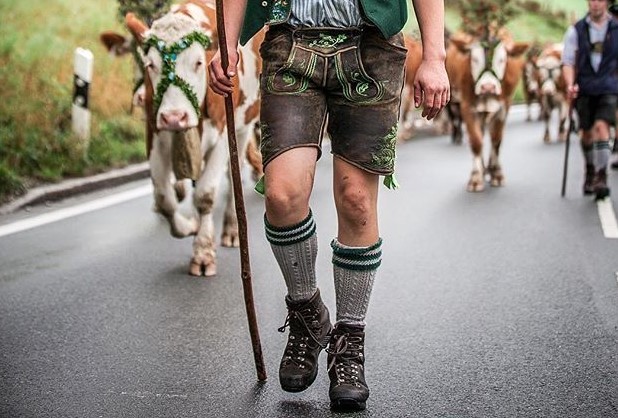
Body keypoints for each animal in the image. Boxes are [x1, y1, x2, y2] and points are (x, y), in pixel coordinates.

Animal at [124, 0, 262, 278]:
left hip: (244, 125)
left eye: (199, 62)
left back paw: (232, 229)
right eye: (150, 64)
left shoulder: (223, 136)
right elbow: (164, 199)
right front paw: (189, 226)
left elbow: (205, 194)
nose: (174, 117)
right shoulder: (154, 136)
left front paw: (203, 253)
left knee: (234, 174)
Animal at [446, 30, 528, 191]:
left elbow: (496, 138)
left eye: (501, 60)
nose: (488, 87)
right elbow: (476, 141)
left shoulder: (504, 107)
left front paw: (496, 174)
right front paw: (476, 177)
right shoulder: (467, 106)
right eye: (474, 59)